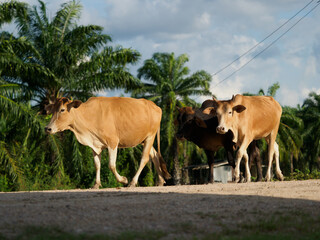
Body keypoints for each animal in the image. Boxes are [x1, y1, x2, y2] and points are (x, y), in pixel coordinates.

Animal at [44, 96, 172, 188]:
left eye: (62, 110)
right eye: (52, 111)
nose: (47, 128)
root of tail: (155, 106)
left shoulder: (113, 142)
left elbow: (111, 165)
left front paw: (123, 180)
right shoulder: (95, 145)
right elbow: (97, 165)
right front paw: (96, 184)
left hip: (150, 136)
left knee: (144, 159)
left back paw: (132, 182)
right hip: (143, 139)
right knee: (155, 155)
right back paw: (160, 181)